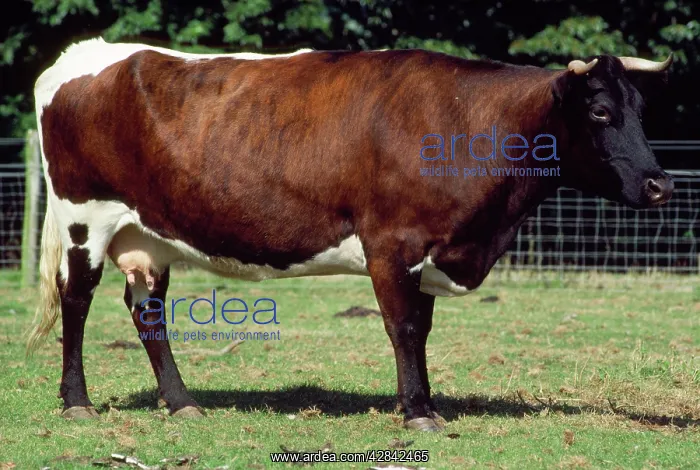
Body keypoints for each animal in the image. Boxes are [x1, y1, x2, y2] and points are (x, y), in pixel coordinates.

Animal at [27, 37, 673, 431]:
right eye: (599, 111)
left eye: (641, 110)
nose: (660, 183)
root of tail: (85, 55)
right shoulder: (393, 243)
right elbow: (404, 328)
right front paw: (418, 413)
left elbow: (421, 328)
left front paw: (420, 402)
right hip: (86, 217)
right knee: (77, 302)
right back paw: (78, 403)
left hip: (147, 236)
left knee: (148, 311)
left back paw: (183, 404)